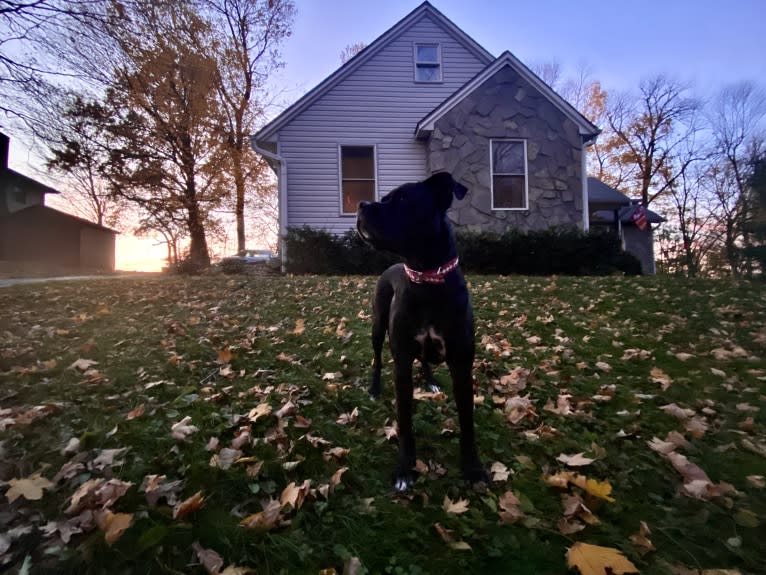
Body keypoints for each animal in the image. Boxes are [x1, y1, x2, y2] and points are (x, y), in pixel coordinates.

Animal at [358, 171, 486, 490]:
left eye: (403, 198)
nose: (362, 204)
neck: (426, 278)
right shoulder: (401, 364)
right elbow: (405, 422)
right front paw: (405, 468)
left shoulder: (462, 365)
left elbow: (467, 422)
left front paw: (473, 468)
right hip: (377, 327)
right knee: (377, 358)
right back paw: (374, 388)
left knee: (426, 360)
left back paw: (430, 381)